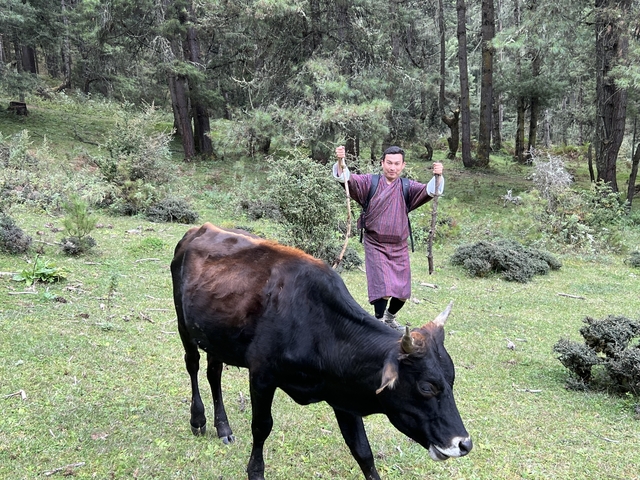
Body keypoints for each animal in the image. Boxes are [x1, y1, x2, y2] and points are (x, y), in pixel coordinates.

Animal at [171, 223, 472, 480]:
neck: (314, 322)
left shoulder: (343, 394)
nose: (464, 443)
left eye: (452, 379)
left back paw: (223, 427)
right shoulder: (261, 376)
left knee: (214, 373)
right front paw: (255, 471)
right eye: (426, 387)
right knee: (193, 364)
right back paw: (198, 420)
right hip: (184, 324)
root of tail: (197, 230)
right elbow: (261, 426)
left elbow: (362, 451)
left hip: (216, 335)